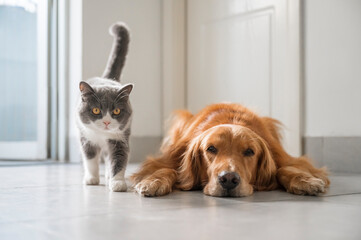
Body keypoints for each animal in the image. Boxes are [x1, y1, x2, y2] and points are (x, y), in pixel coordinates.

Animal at [76, 22, 133, 191]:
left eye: (116, 110)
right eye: (96, 110)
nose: (107, 122)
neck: (102, 135)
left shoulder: (120, 139)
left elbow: (119, 159)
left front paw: (117, 183)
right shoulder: (86, 137)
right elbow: (90, 159)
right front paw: (91, 179)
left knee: (109, 157)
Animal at [131, 103, 330, 197]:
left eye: (249, 151)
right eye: (211, 149)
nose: (228, 179)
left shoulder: (283, 156)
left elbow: (286, 169)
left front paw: (306, 181)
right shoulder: (168, 158)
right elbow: (166, 169)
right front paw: (153, 181)